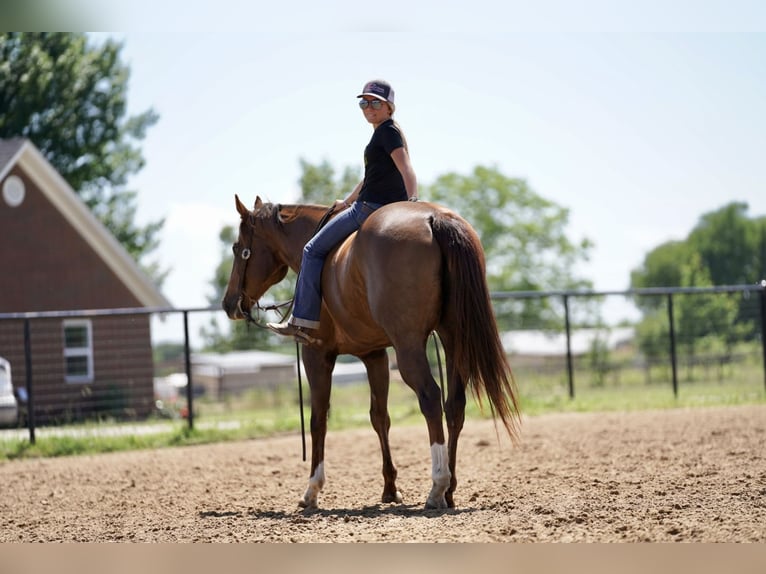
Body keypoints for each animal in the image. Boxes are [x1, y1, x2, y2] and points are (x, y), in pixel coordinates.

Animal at [222, 196, 520, 510]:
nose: (229, 303)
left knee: (430, 397)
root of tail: (434, 218)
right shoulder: (375, 355)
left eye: (236, 248)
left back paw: (437, 487)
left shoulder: (316, 355)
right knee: (454, 405)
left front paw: (312, 490)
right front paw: (390, 488)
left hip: (408, 347)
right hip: (453, 340)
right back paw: (449, 490)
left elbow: (318, 419)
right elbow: (380, 418)